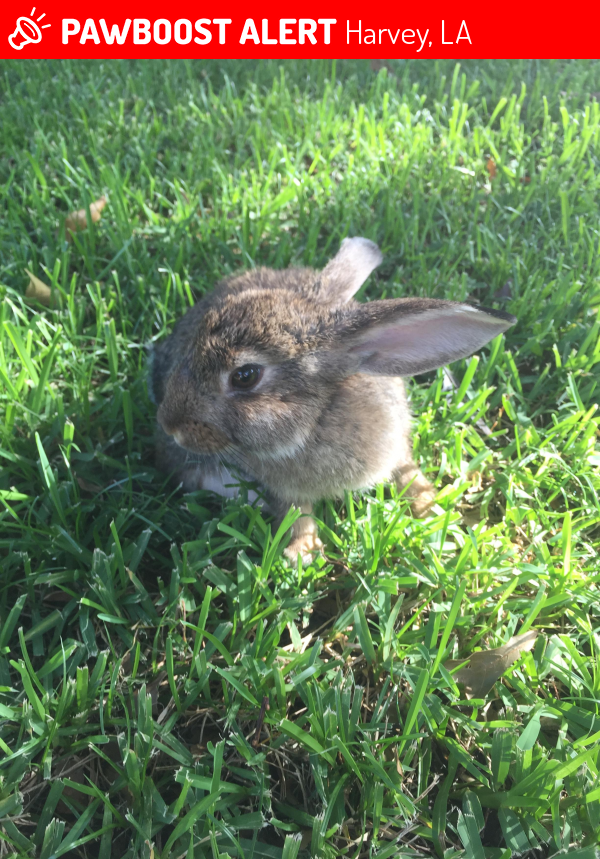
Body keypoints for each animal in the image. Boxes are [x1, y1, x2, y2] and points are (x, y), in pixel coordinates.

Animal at [151, 237, 516, 562]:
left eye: (245, 375)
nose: (169, 426)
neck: (315, 419)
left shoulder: (395, 447)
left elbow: (408, 474)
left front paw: (434, 509)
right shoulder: (281, 487)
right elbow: (296, 512)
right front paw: (303, 553)